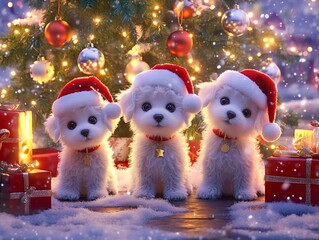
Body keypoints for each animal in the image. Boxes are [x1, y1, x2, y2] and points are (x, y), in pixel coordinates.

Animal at [119, 63, 201, 201]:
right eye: (146, 106)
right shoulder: (143, 166)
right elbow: (145, 180)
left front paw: (175, 193)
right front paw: (144, 194)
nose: (158, 116)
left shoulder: (174, 164)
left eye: (170, 107)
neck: (159, 139)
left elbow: (174, 179)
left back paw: (187, 189)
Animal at [198, 69, 282, 201]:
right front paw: (209, 191)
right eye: (224, 101)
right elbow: (211, 177)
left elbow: (244, 179)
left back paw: (259, 189)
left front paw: (245, 194)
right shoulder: (211, 162)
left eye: (247, 113)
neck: (228, 137)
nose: (231, 114)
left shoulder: (245, 164)